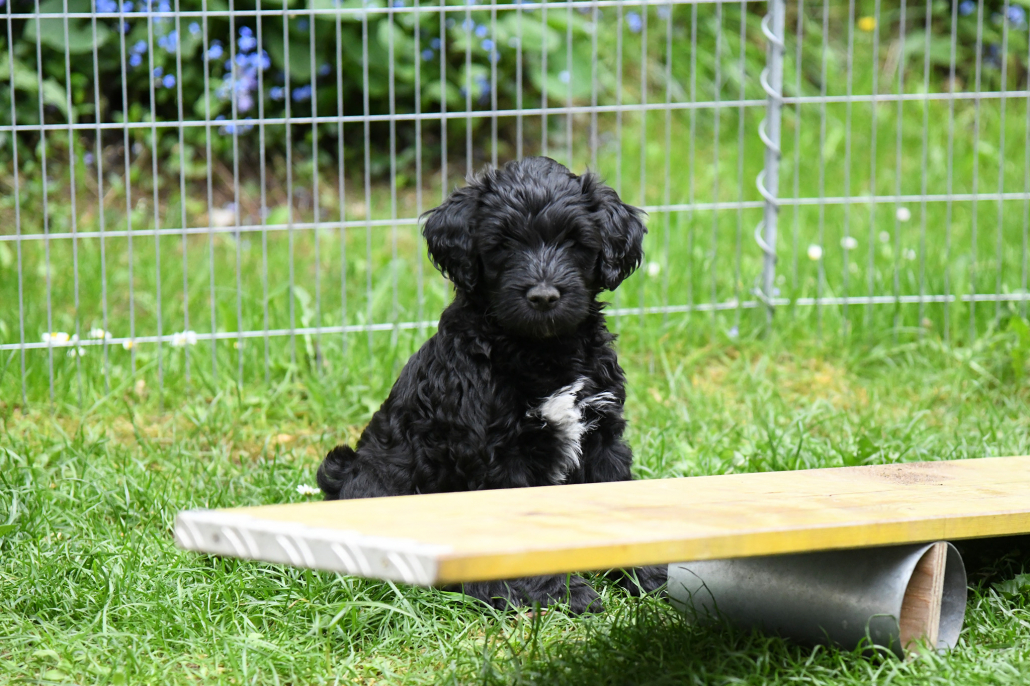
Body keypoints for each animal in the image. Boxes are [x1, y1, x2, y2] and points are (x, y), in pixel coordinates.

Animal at [317, 156, 666, 613]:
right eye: (504, 244)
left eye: (575, 242)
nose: (543, 296)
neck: (541, 349)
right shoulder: (497, 453)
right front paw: (558, 591)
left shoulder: (602, 432)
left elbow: (614, 495)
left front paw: (646, 571)